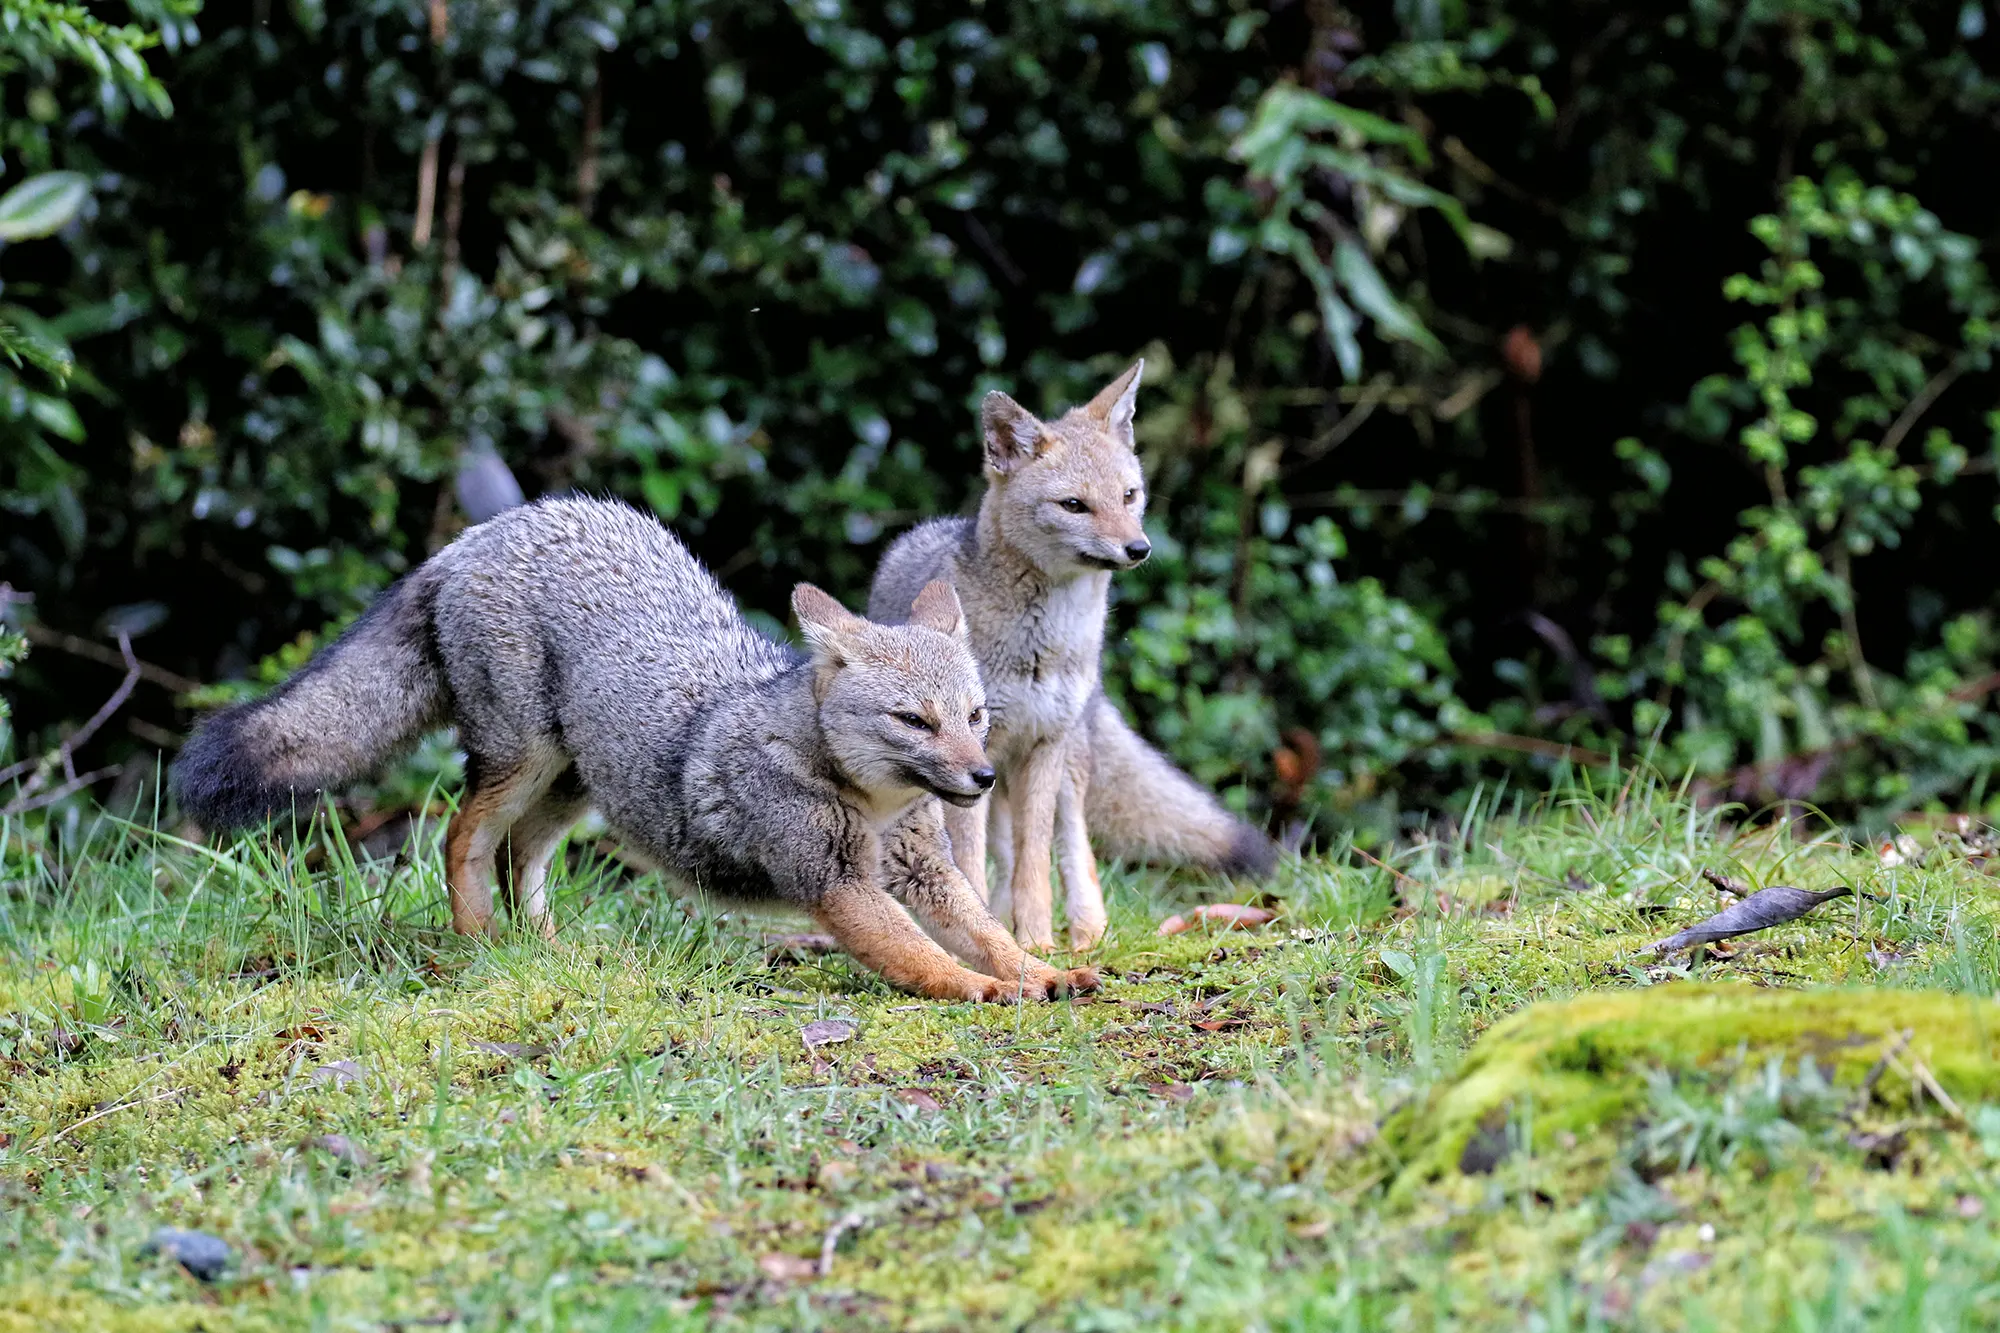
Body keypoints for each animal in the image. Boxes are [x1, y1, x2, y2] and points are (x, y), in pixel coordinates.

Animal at [174, 496, 1104, 996]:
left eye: (975, 715)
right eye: (914, 721)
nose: (982, 777)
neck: (865, 798)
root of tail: (480, 534)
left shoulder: (927, 872)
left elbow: (985, 930)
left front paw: (1039, 971)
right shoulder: (838, 885)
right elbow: (926, 959)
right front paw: (984, 990)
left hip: (578, 787)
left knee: (515, 854)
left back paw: (543, 951)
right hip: (523, 762)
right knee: (462, 838)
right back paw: (481, 945)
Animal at [872, 358, 1280, 948]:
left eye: (1130, 496)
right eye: (1074, 506)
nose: (1139, 549)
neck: (1041, 645)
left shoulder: (1043, 747)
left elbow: (1037, 862)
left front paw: (1037, 941)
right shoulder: (972, 764)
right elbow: (973, 862)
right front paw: (990, 933)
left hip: (1060, 764)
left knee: (1071, 846)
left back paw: (1087, 931)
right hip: (997, 777)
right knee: (1003, 849)